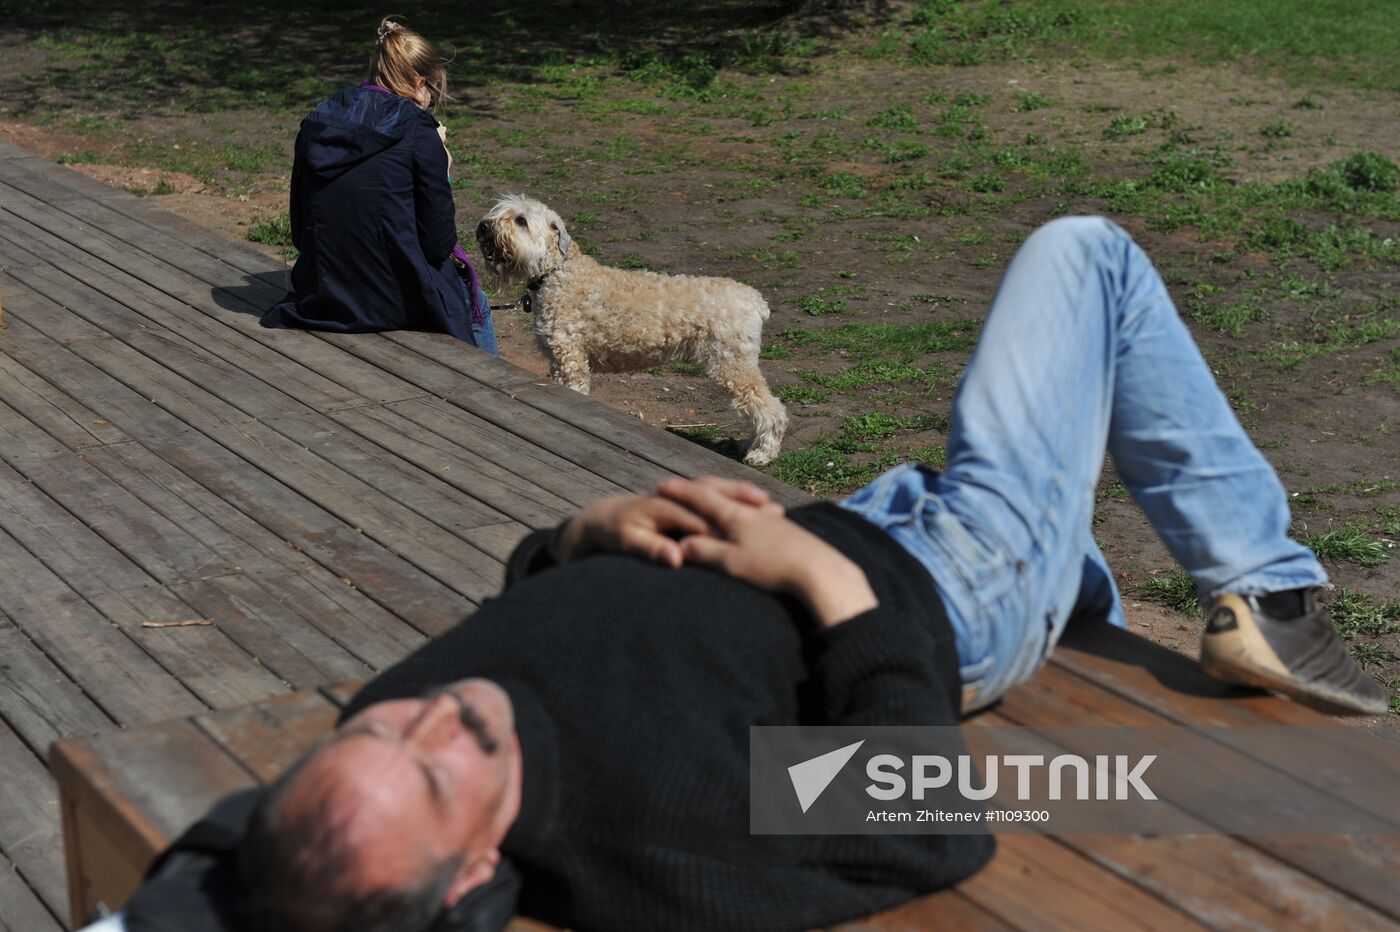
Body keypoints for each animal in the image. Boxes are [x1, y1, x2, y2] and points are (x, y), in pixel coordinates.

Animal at [476, 193, 789, 464]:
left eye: (521, 220)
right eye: (499, 211)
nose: (484, 226)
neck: (557, 274)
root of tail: (755, 300)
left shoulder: (571, 360)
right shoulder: (557, 360)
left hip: (732, 365)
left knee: (771, 409)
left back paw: (761, 453)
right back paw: (749, 444)